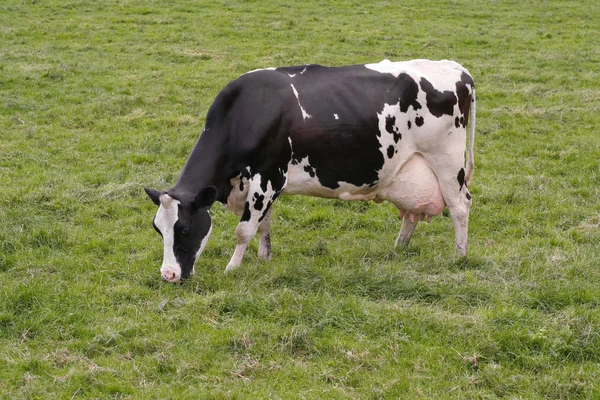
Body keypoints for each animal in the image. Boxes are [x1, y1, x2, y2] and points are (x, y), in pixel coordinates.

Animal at [143, 60, 476, 284]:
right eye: (158, 229)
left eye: (184, 229)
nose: (168, 275)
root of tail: (457, 68)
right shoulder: (264, 184)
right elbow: (264, 224)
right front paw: (264, 258)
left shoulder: (267, 176)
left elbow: (244, 229)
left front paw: (232, 268)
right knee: (412, 213)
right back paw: (397, 249)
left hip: (448, 163)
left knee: (460, 207)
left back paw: (459, 256)